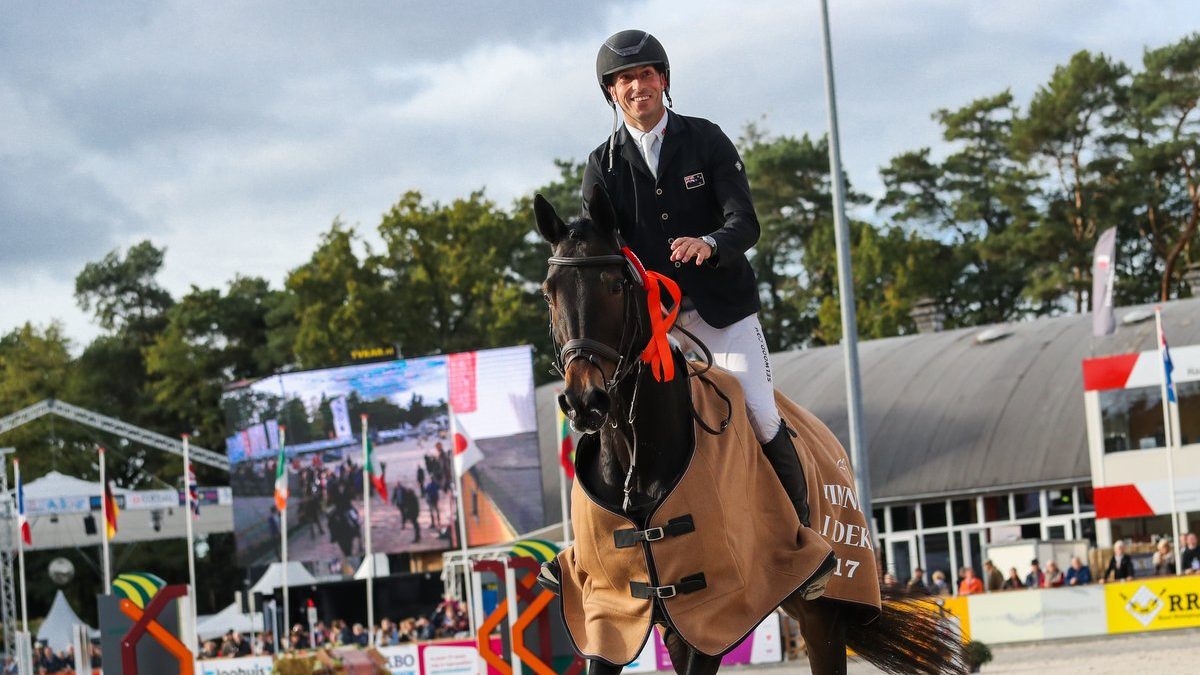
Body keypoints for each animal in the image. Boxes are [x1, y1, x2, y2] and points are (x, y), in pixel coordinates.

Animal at [535, 190, 964, 675]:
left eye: (613, 284)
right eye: (549, 292)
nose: (584, 401)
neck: (635, 456)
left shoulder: (716, 610)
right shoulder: (616, 615)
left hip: (820, 614)